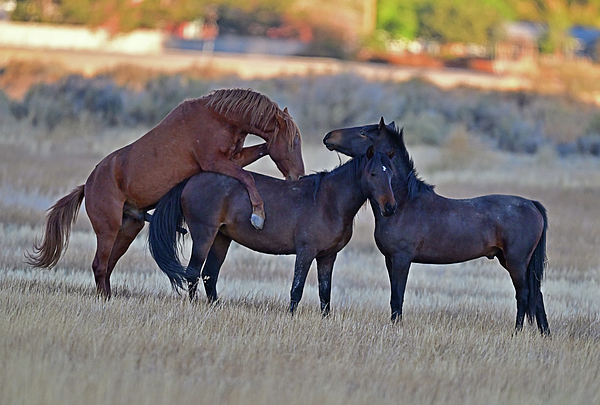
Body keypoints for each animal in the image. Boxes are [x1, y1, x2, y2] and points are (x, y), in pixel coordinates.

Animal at [26, 89, 304, 296]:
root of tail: (88, 185)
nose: (298, 176)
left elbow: (258, 154)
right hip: (108, 229)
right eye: (293, 142)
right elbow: (247, 178)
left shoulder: (234, 158)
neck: (218, 117)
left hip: (129, 228)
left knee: (107, 265)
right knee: (99, 265)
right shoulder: (215, 162)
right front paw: (258, 215)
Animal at [147, 147, 396, 314]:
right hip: (204, 235)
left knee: (209, 274)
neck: (328, 202)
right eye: (373, 174)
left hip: (221, 238)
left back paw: (216, 307)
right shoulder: (306, 252)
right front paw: (291, 317)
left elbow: (325, 293)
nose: (390, 207)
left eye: (391, 174)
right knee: (193, 272)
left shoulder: (328, 256)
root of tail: (191, 180)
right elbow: (297, 288)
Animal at [326, 117, 552, 334]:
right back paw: (545, 334)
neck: (403, 203)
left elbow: (398, 297)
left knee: (523, 294)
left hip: (516, 262)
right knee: (537, 295)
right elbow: (393, 297)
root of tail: (532, 204)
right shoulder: (390, 260)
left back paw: (517, 332)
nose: (329, 137)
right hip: (511, 261)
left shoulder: (401, 259)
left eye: (363, 132)